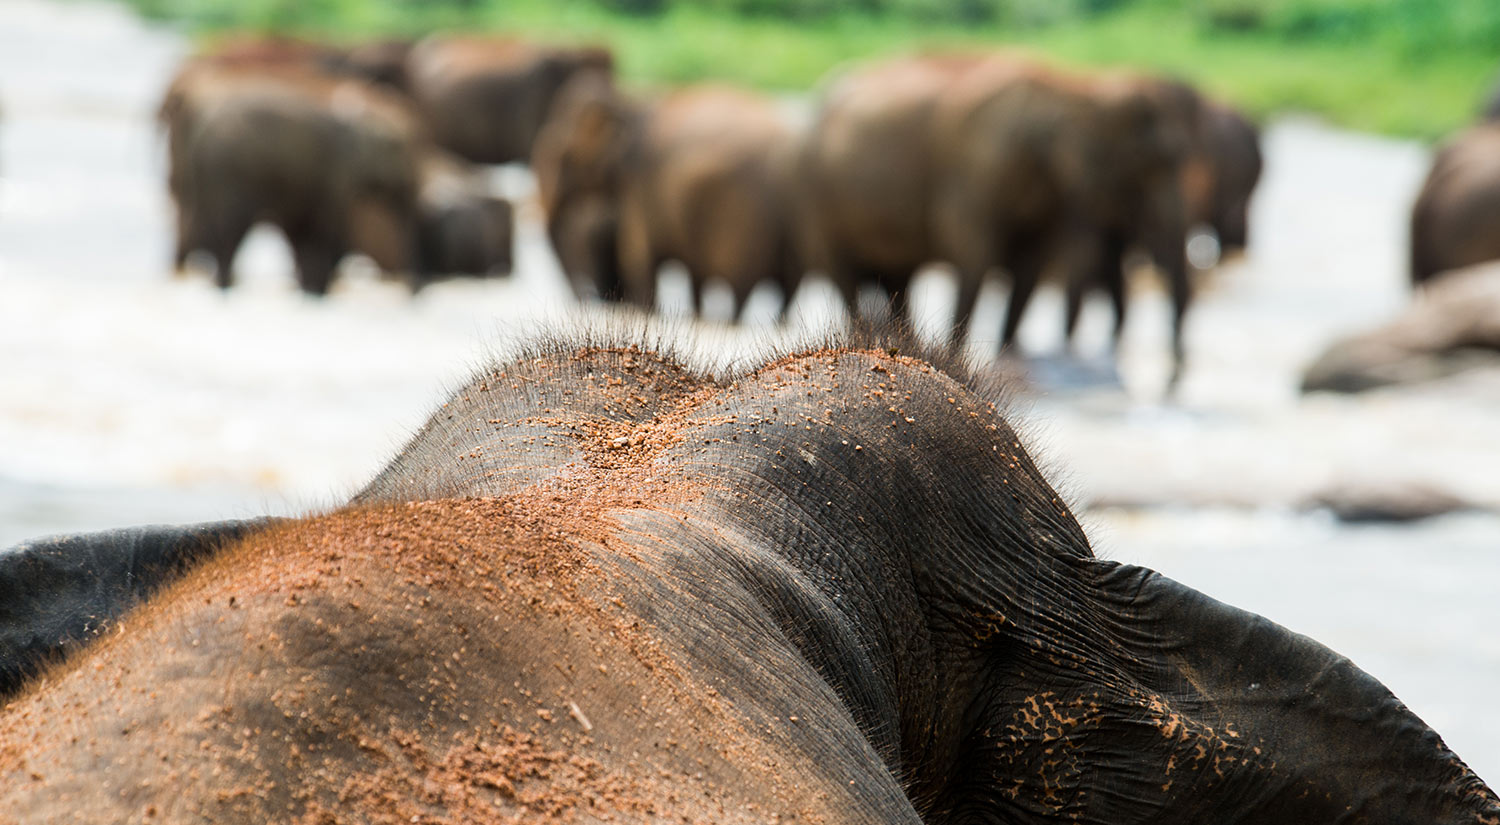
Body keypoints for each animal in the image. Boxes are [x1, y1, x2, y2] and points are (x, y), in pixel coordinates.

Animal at [533, 81, 805, 319]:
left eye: (563, 154)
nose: (588, 299)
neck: (628, 100)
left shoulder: (637, 185)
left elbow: (635, 255)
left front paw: (647, 311)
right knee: (788, 290)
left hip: (746, 223)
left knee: (742, 290)